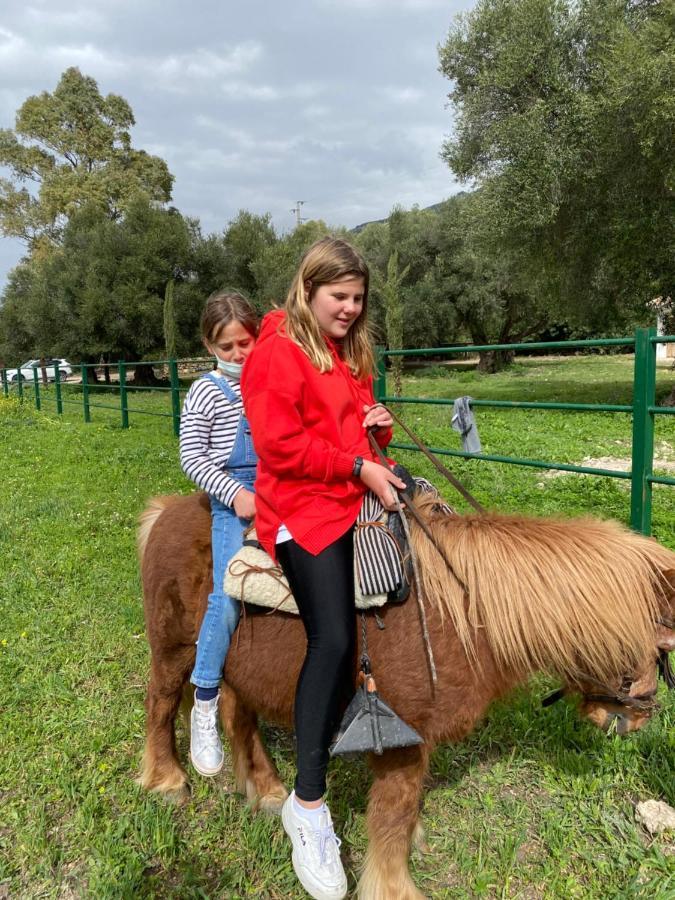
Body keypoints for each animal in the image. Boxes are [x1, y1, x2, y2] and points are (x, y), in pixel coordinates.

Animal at [137, 492, 675, 900]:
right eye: (660, 647)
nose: (636, 718)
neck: (460, 614)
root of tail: (165, 511)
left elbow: (404, 810)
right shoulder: (401, 743)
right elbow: (392, 816)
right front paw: (393, 885)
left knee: (238, 716)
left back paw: (267, 788)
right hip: (174, 649)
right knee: (161, 703)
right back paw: (168, 779)